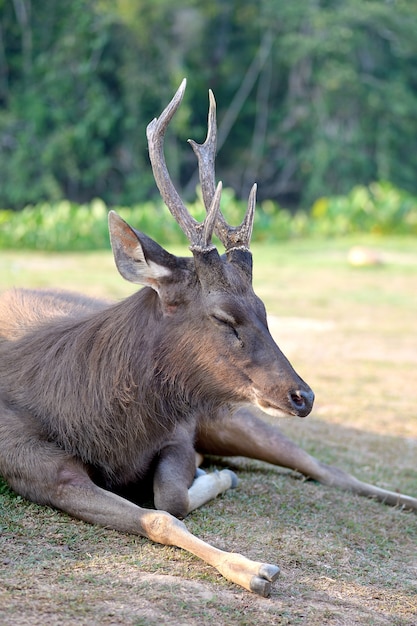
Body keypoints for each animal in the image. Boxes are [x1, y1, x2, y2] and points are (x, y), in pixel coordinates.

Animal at [0, 80, 416, 596]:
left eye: (265, 310)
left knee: (324, 467)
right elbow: (161, 516)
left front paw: (217, 485)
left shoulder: (178, 430)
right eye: (224, 317)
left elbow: (170, 497)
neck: (96, 420)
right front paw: (254, 567)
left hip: (227, 414)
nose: (304, 396)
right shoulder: (32, 464)